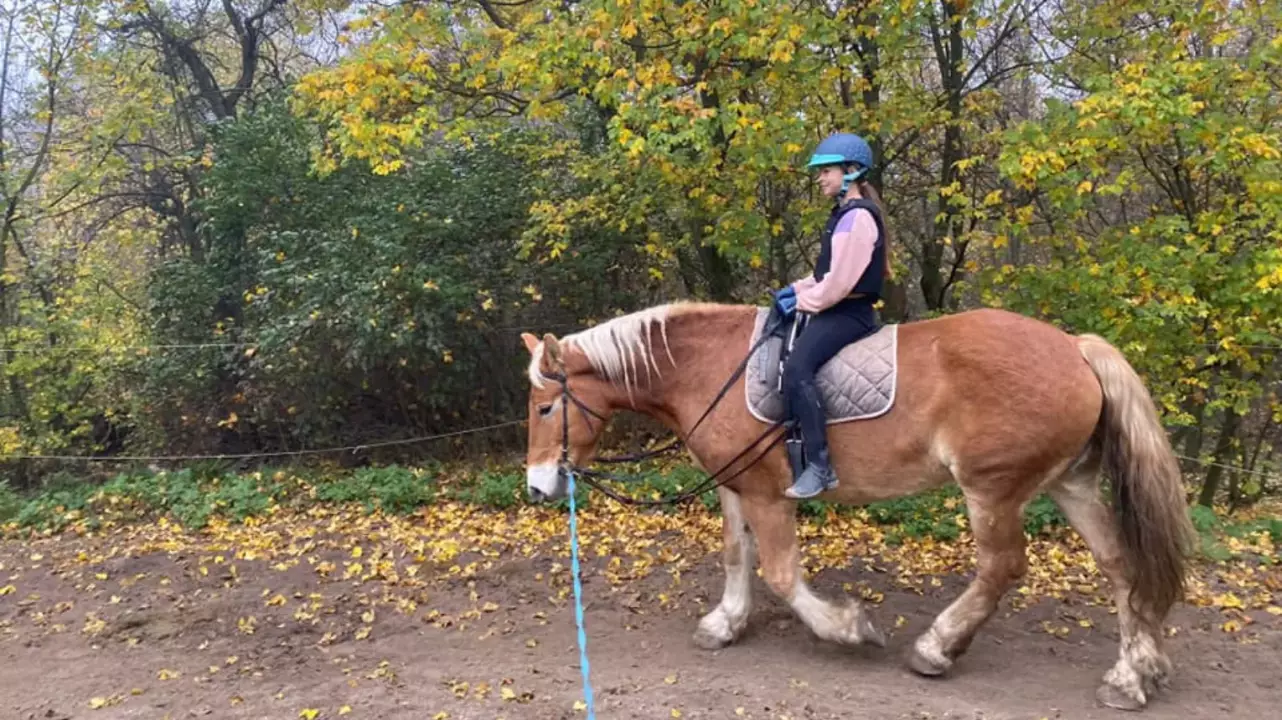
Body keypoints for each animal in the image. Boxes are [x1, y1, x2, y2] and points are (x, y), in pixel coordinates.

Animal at [515, 299, 1194, 707]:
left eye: (546, 407)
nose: (539, 487)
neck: (710, 369)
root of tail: (1075, 348)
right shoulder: (737, 486)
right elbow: (736, 555)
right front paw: (725, 623)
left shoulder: (769, 494)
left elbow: (781, 572)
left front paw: (848, 627)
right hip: (1068, 485)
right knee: (1121, 567)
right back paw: (1133, 673)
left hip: (993, 490)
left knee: (1001, 569)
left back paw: (935, 648)